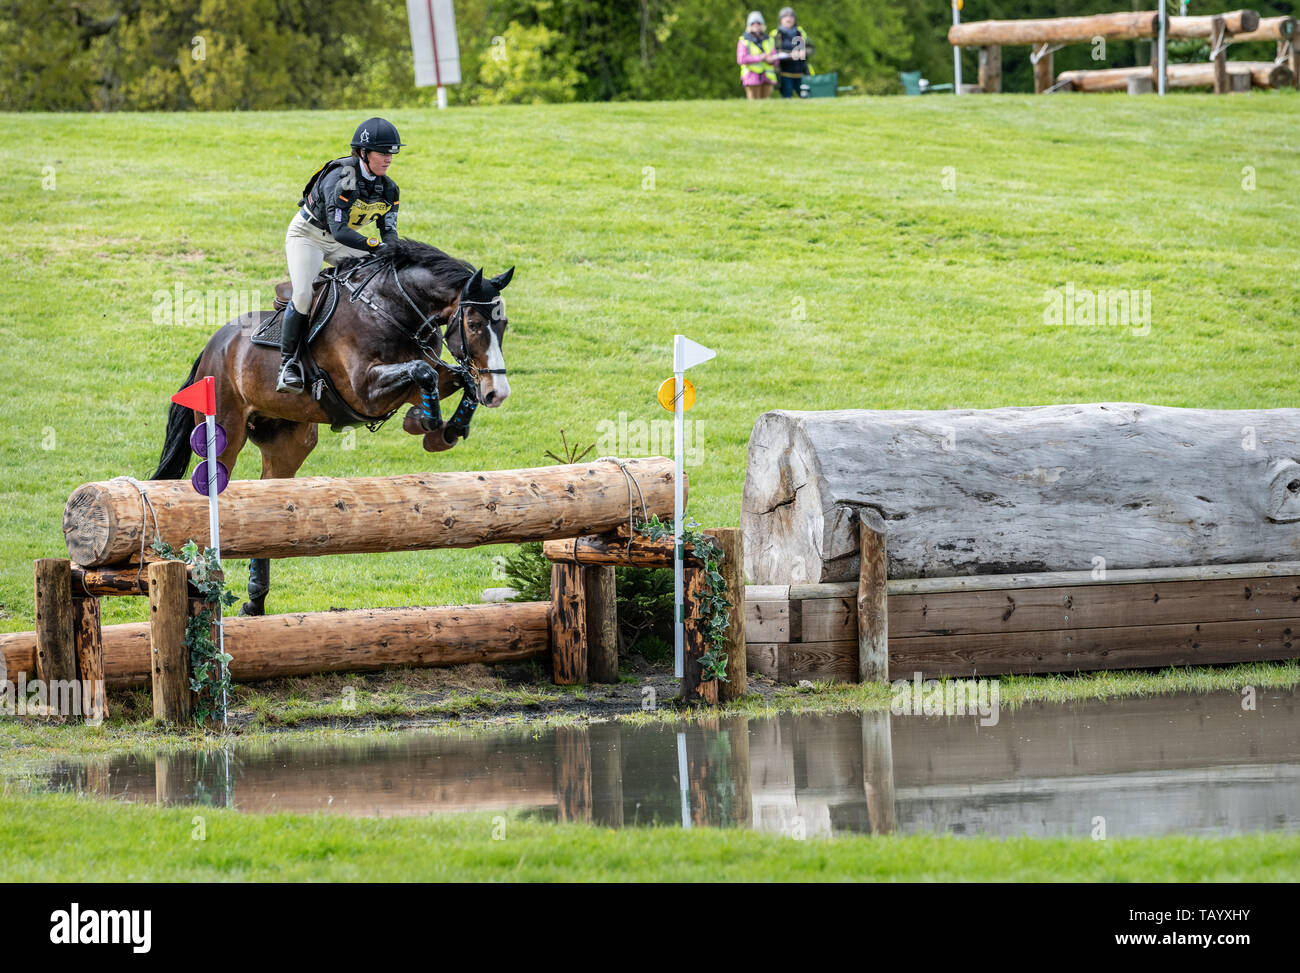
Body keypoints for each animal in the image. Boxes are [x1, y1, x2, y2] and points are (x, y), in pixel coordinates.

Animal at [150, 238, 512, 616]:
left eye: (503, 325)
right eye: (473, 323)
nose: (498, 393)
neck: (393, 310)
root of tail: (215, 344)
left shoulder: (426, 373)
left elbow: (453, 377)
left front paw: (441, 429)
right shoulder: (365, 392)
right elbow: (422, 372)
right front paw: (426, 421)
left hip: (289, 443)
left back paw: (255, 601)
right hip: (225, 430)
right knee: (214, 485)